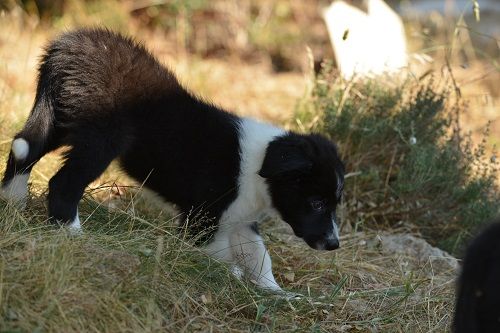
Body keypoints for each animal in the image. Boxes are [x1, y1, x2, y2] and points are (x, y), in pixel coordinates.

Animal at [0, 29, 344, 294]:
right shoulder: (203, 218)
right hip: (102, 136)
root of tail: (66, 46)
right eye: (316, 203)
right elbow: (220, 257)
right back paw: (72, 235)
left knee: (23, 148)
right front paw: (228, 280)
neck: (260, 166)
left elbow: (259, 257)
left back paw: (13, 202)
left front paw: (276, 294)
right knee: (62, 182)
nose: (334, 245)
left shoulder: (239, 219)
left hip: (59, 120)